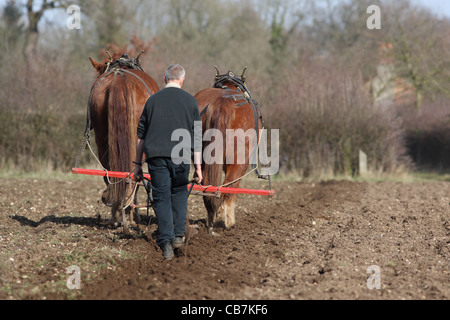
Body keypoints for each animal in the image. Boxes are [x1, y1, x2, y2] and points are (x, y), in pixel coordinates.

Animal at [87, 52, 159, 232]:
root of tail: (120, 79)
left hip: (102, 138)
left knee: (112, 172)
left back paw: (118, 212)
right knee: (133, 174)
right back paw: (126, 211)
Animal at [196, 67, 264, 235]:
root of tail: (222, 101)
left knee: (208, 186)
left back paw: (211, 220)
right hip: (240, 159)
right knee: (229, 187)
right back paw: (228, 221)